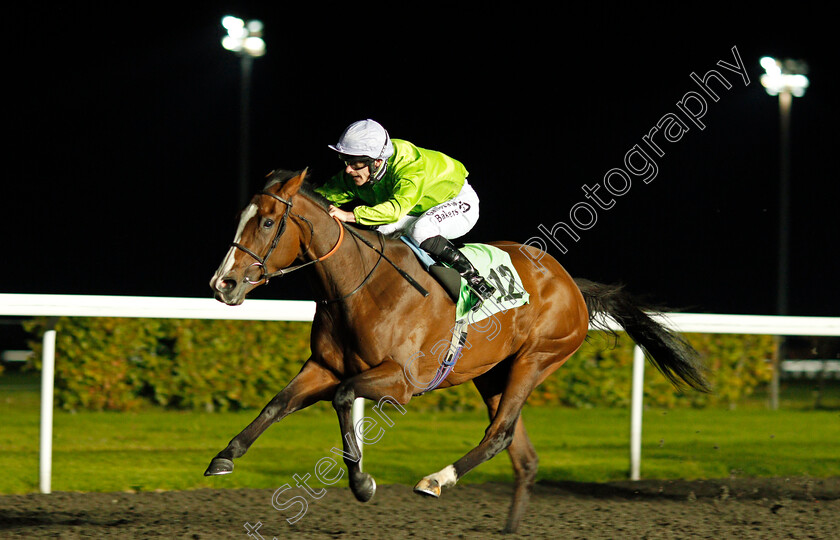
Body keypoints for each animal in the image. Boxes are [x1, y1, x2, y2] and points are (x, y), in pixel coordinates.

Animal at [205, 169, 708, 532]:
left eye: (268, 222)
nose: (222, 284)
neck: (360, 285)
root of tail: (571, 284)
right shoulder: (324, 366)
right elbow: (278, 403)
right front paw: (225, 455)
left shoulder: (401, 383)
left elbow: (345, 397)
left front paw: (363, 484)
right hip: (492, 373)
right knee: (522, 452)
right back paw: (508, 526)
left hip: (536, 360)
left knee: (500, 434)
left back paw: (435, 480)